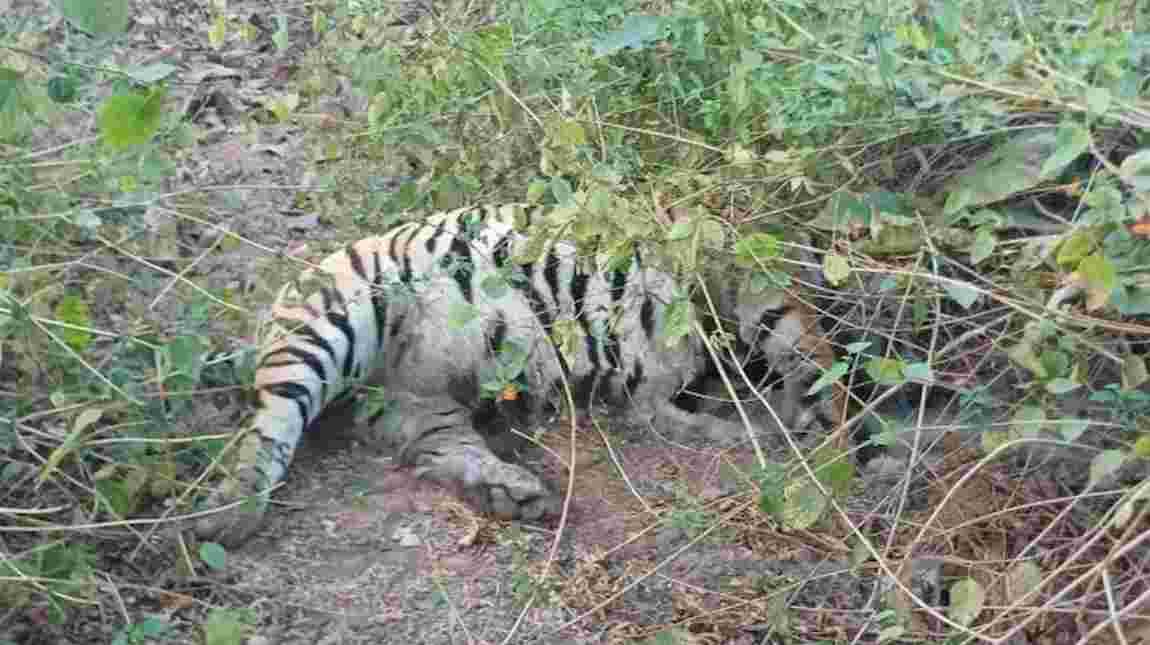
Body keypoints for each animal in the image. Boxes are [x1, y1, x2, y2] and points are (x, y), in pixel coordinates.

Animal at [193, 203, 847, 546]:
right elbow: (798, 358)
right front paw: (801, 422)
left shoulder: (652, 385)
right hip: (332, 324)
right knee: (269, 425)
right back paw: (222, 517)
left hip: (422, 402)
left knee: (428, 444)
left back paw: (511, 492)